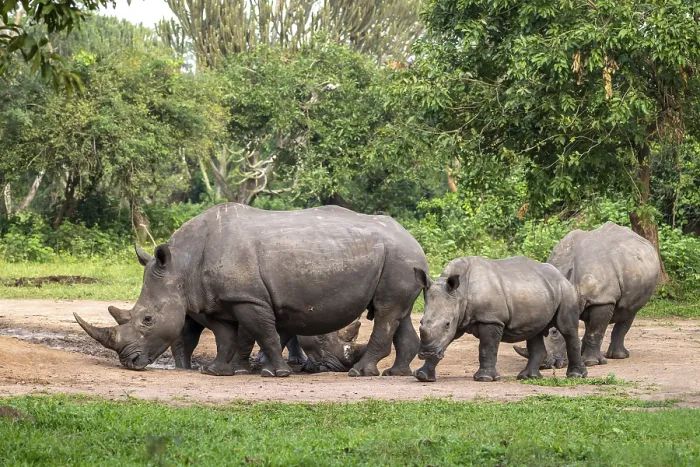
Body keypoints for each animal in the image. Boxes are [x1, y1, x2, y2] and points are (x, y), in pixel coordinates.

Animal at [75, 203, 426, 377]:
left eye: (147, 320)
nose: (128, 362)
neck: (181, 266)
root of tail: (412, 238)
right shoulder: (220, 300)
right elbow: (226, 336)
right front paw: (216, 372)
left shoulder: (249, 298)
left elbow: (263, 333)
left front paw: (274, 374)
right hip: (400, 260)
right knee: (399, 313)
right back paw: (396, 373)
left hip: (398, 258)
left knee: (386, 313)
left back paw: (360, 374)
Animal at [413, 256, 587, 382]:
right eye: (420, 323)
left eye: (447, 324)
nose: (426, 353)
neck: (461, 293)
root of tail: (562, 276)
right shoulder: (458, 317)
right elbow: (443, 342)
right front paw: (422, 376)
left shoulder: (491, 319)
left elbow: (487, 348)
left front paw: (484, 378)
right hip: (537, 291)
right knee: (535, 333)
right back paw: (527, 377)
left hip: (565, 291)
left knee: (567, 329)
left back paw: (576, 376)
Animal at [513, 222, 660, 367]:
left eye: (554, 333)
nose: (544, 365)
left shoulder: (603, 298)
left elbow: (595, 331)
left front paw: (591, 362)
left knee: (629, 311)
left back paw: (618, 356)